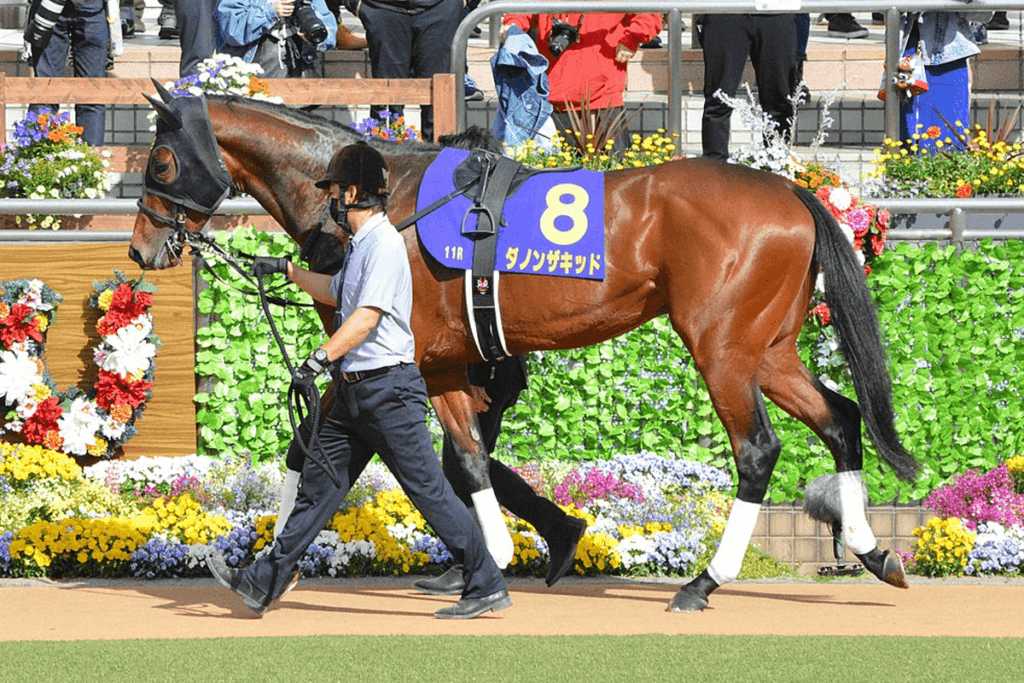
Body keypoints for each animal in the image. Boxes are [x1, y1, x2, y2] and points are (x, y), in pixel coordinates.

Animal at [128, 89, 916, 611]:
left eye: (161, 161)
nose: (141, 249)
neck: (383, 205)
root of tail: (792, 194)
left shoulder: (409, 355)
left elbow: (438, 458)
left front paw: (494, 557)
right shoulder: (436, 363)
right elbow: (426, 456)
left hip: (722, 351)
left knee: (757, 449)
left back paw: (703, 581)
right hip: (769, 350)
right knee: (840, 419)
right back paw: (872, 549)